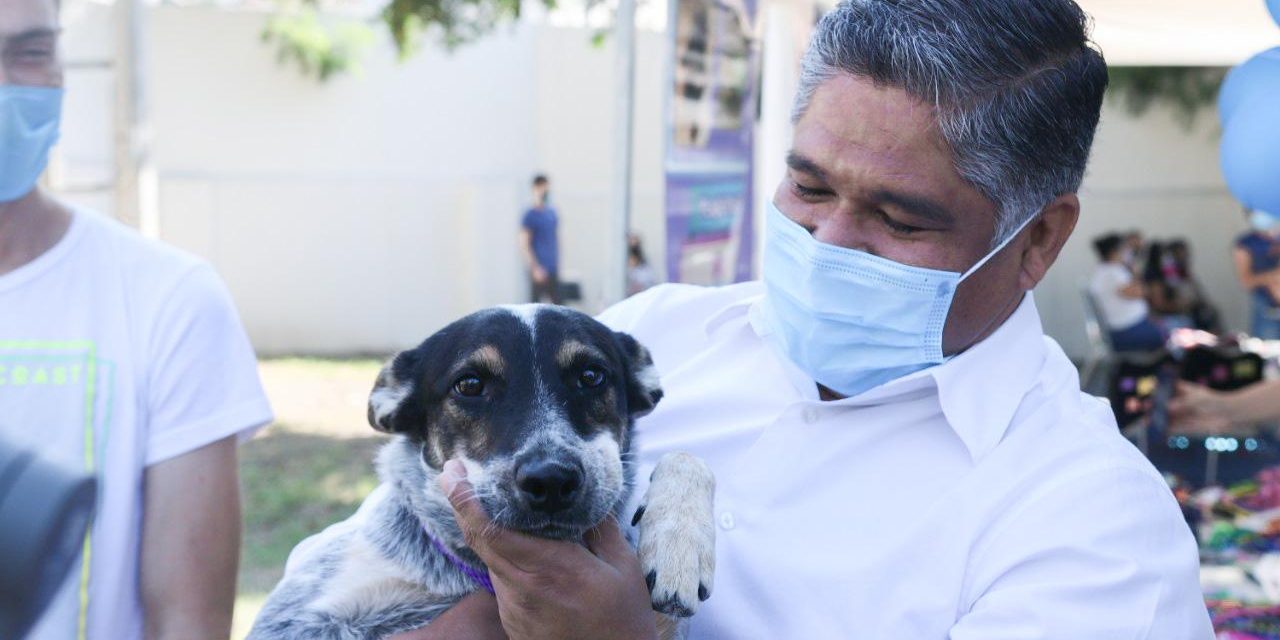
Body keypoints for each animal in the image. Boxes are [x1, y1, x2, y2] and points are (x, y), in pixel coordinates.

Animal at [244, 304, 716, 640]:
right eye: (469, 384)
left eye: (591, 375)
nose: (551, 480)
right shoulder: (296, 620)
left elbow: (687, 457)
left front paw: (679, 550)